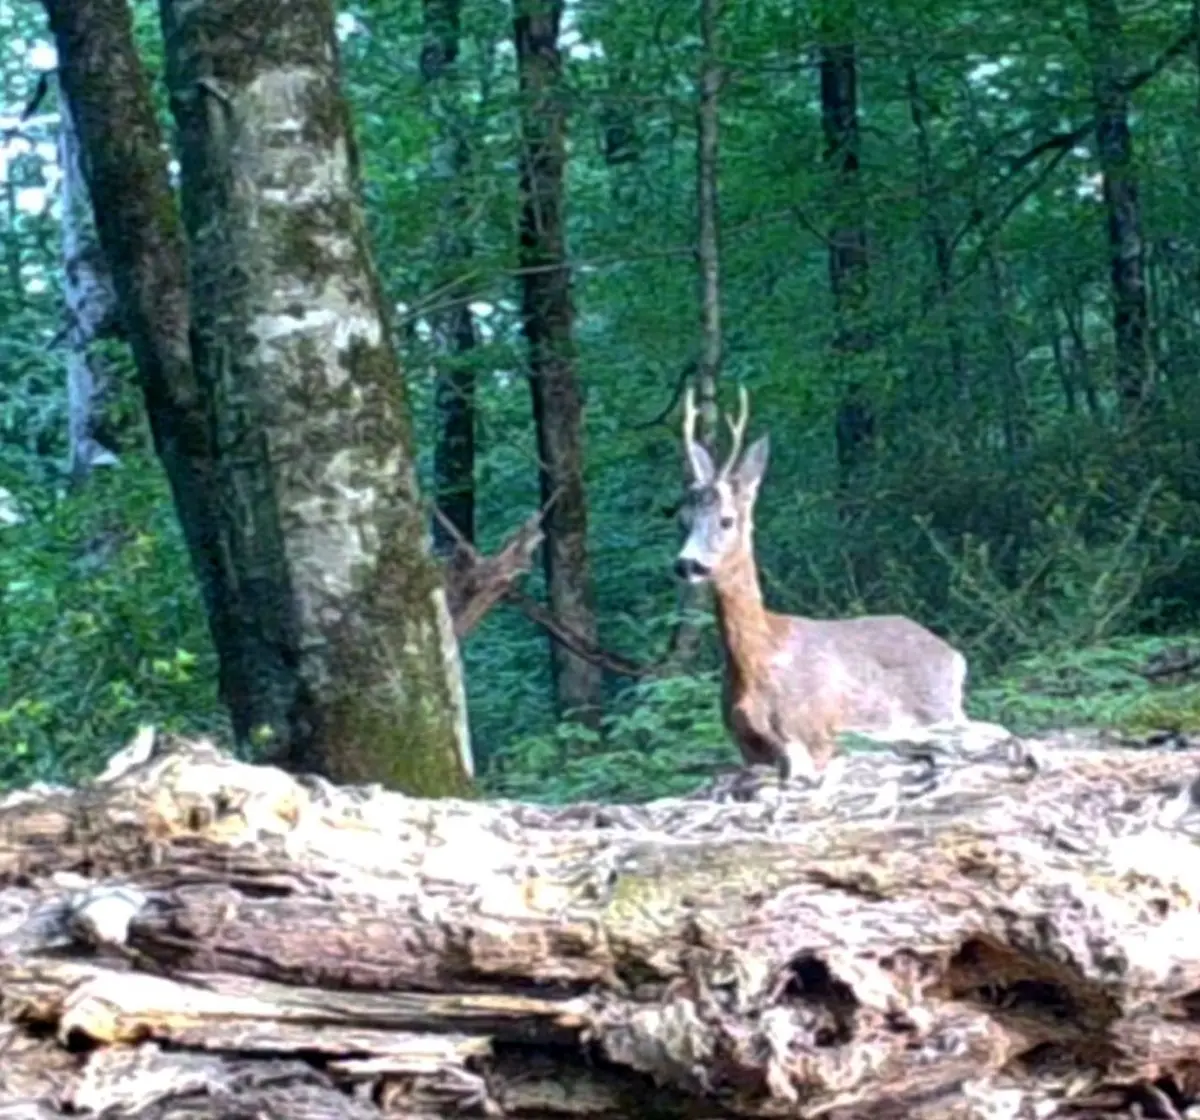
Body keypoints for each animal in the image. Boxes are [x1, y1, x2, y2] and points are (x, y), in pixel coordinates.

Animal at [676, 388, 974, 792]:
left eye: (726, 520)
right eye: (683, 520)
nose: (687, 564)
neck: (758, 659)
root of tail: (954, 656)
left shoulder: (811, 736)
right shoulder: (747, 745)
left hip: (940, 713)